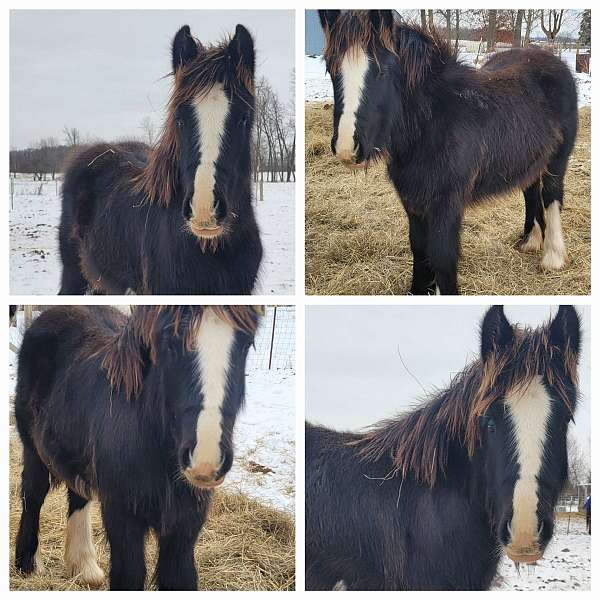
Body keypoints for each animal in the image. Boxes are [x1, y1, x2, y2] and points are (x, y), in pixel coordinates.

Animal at [14, 308, 260, 588]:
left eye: (246, 343)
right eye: (170, 342)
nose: (205, 460)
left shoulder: (183, 529)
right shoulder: (123, 520)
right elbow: (129, 576)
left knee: (78, 495)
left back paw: (84, 567)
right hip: (32, 450)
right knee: (33, 495)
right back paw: (27, 563)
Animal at [318, 12, 576, 296]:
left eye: (382, 71)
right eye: (331, 69)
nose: (346, 148)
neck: (431, 123)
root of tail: (554, 61)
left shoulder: (446, 206)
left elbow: (442, 258)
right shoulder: (413, 202)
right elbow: (420, 251)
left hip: (557, 160)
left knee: (551, 195)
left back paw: (552, 256)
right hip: (528, 158)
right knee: (530, 191)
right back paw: (531, 241)